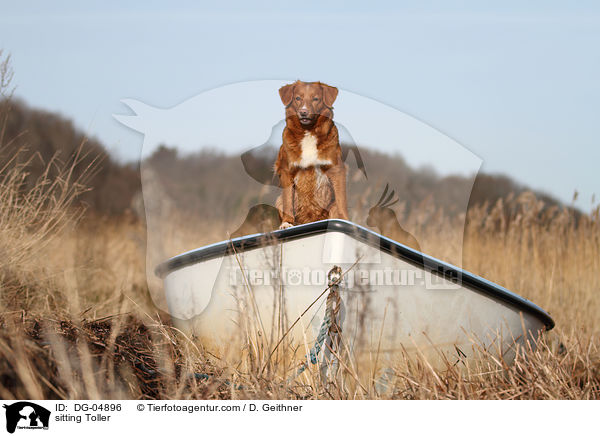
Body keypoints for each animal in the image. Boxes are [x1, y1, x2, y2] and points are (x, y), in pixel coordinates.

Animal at [274, 80, 350, 230]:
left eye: (316, 99)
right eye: (298, 98)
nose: (303, 112)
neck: (308, 131)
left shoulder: (337, 169)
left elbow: (341, 200)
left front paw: (346, 220)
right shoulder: (287, 170)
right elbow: (288, 201)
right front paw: (287, 222)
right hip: (278, 200)